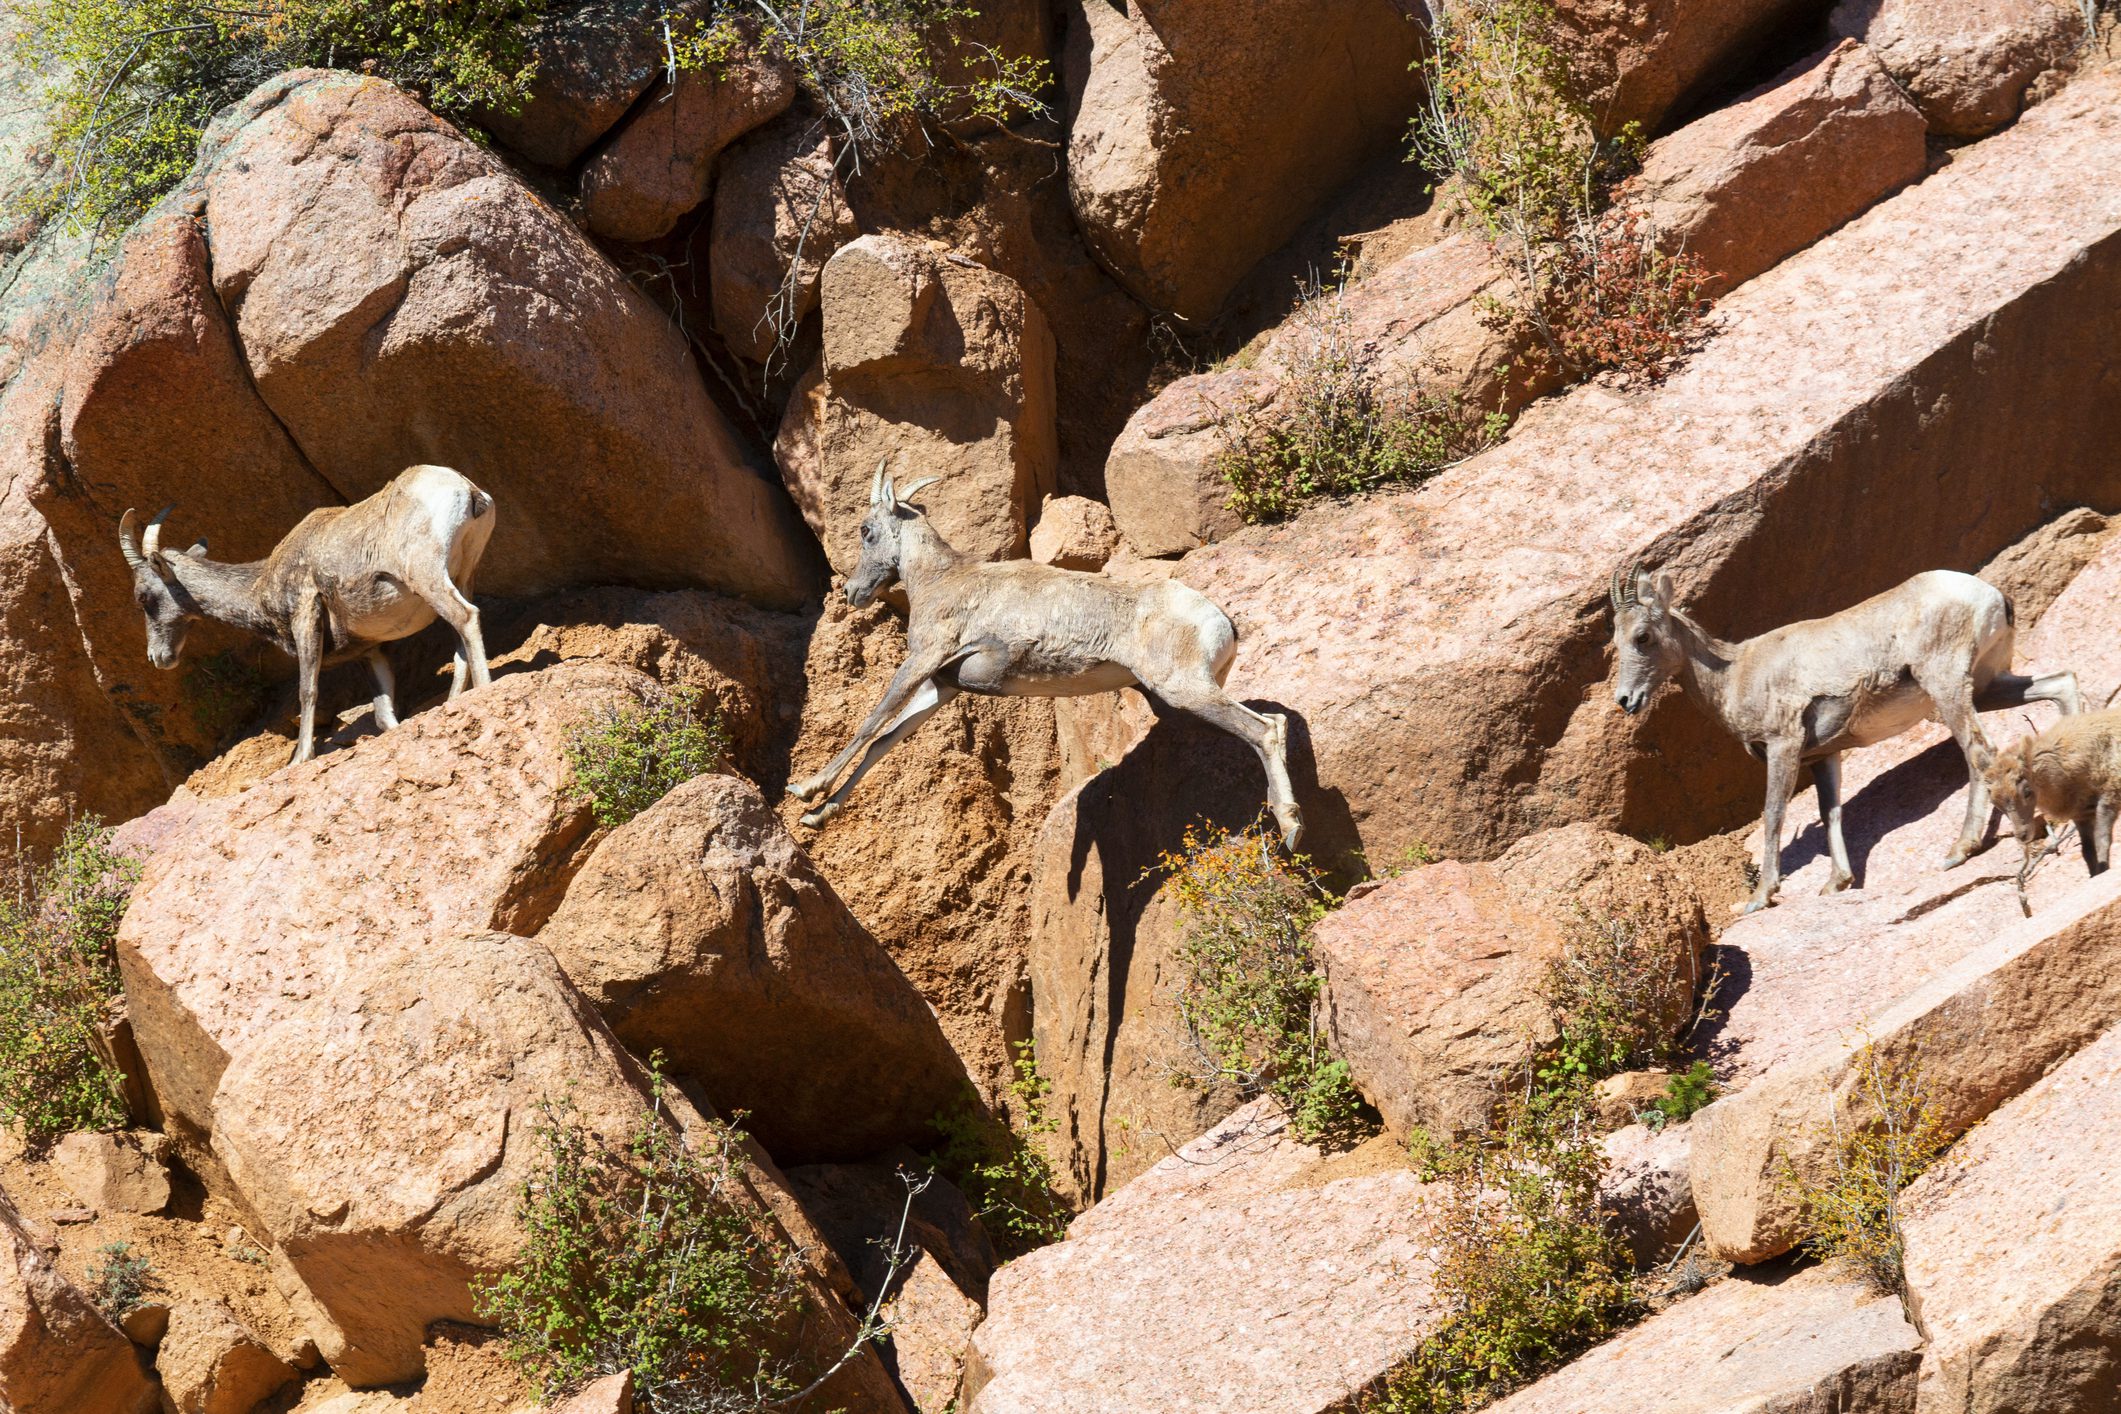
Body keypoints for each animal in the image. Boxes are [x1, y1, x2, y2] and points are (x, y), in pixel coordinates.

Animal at [124, 464, 500, 767]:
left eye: (143, 597)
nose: (158, 657)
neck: (261, 585)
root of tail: (466, 489)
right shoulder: (370, 651)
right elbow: (383, 714)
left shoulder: (306, 618)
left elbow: (308, 690)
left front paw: (300, 758)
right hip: (463, 575)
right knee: (461, 637)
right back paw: (453, 702)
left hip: (426, 575)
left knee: (466, 617)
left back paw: (483, 689)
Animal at [789, 464, 1298, 847]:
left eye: (866, 530)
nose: (853, 592)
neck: (940, 580)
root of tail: (1220, 621)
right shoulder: (943, 686)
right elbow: (884, 741)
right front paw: (816, 817)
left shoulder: (923, 661)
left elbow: (871, 724)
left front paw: (805, 788)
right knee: (1272, 724)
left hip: (1184, 688)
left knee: (1263, 729)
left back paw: (1291, 827)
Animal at [1611, 563, 2078, 920]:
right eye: (1617, 641)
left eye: (1643, 637)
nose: (1626, 700)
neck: (1732, 674)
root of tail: (1990, 595)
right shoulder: (1825, 755)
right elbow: (1831, 812)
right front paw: (1836, 884)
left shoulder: (1783, 746)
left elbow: (1774, 814)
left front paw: (1761, 898)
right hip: (1988, 686)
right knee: (2061, 685)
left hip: (1948, 688)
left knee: (1978, 753)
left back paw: (1959, 849)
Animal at [1968, 712, 2121, 877]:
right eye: (1994, 802)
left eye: (2027, 791)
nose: (2022, 835)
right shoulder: (2081, 813)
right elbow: (2087, 851)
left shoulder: (2109, 795)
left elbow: (2102, 840)